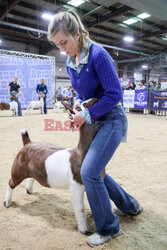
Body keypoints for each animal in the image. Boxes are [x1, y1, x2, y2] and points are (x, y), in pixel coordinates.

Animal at [4, 98, 103, 234]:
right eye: (80, 107)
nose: (94, 99)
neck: (80, 153)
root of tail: (27, 143)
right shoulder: (76, 188)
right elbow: (80, 209)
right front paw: (84, 230)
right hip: (17, 170)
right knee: (11, 183)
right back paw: (7, 203)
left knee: (31, 177)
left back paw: (29, 190)